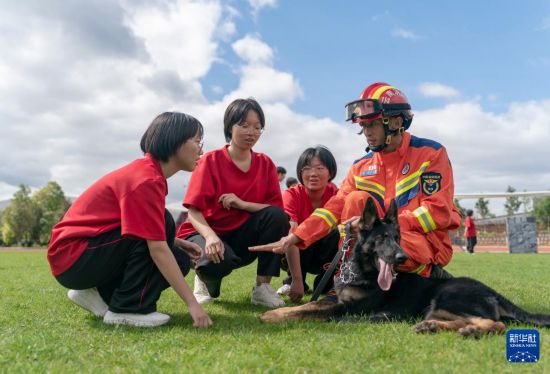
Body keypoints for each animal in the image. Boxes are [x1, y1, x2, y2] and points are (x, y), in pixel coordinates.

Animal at [262, 197, 550, 338]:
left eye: (398, 238)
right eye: (381, 239)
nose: (402, 257)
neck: (361, 272)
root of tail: (494, 294)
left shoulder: (345, 308)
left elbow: (309, 312)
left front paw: (273, 316)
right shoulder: (335, 301)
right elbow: (306, 306)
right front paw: (277, 312)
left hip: (447, 297)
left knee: (496, 324)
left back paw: (472, 332)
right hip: (437, 308)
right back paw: (433, 327)